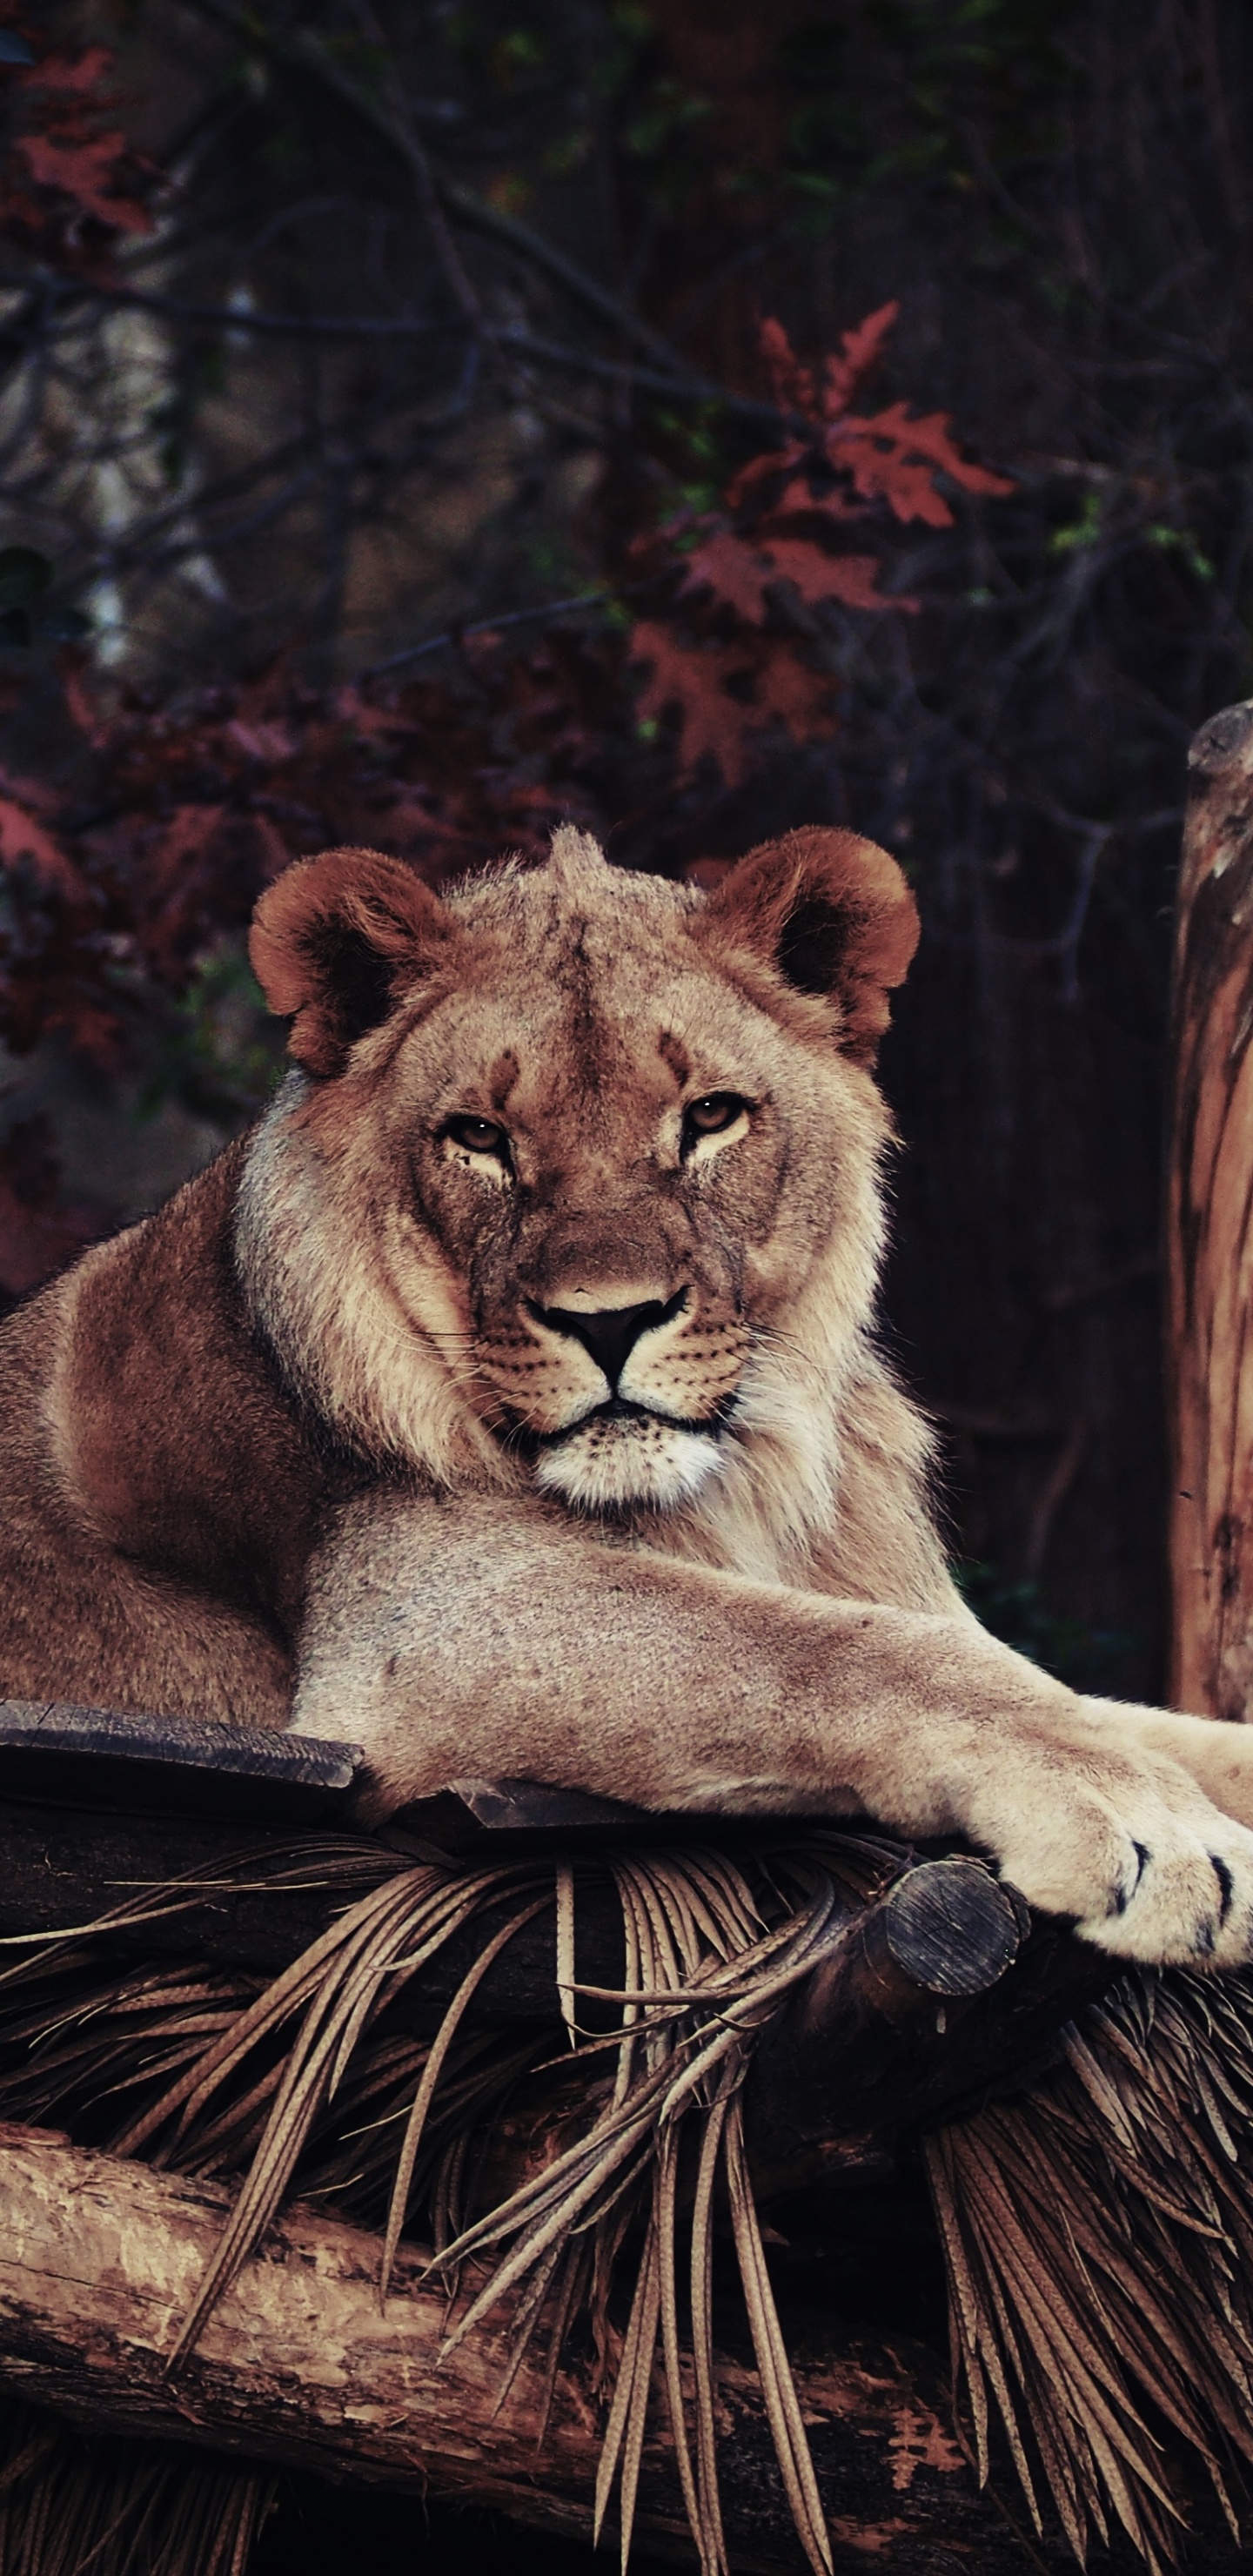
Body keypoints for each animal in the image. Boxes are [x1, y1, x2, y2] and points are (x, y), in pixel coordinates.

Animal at [3, 821, 1253, 1967]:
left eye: (709, 1116)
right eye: (478, 1137)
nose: (609, 1321)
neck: (740, 1486)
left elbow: (1120, 1708)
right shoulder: (421, 1629)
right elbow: (846, 1650)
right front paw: (1153, 1829)